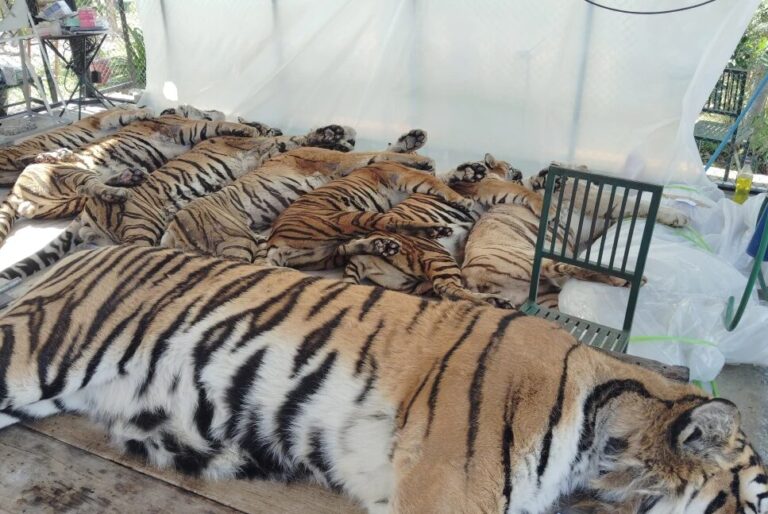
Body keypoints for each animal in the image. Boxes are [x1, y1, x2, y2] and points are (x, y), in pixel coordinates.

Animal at [161, 129, 436, 262]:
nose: (348, 141)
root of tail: (171, 232)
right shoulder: (340, 160)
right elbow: (378, 153)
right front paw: (423, 159)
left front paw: (413, 140)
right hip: (235, 242)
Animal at [264, 160, 478, 270]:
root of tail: (273, 240)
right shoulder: (409, 176)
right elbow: (438, 182)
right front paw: (463, 199)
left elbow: (441, 178)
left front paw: (469, 172)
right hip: (348, 218)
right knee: (391, 223)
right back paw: (437, 229)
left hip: (322, 255)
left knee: (346, 248)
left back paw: (383, 245)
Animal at [461, 167, 691, 307]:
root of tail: (469, 276)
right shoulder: (599, 201)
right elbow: (636, 202)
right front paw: (678, 216)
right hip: (530, 259)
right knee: (570, 268)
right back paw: (626, 279)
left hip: (544, 292)